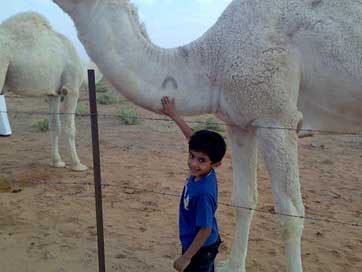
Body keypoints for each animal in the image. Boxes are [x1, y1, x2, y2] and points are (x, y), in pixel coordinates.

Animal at [0, 12, 87, 172]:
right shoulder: (72, 89)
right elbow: (70, 128)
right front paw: (77, 164)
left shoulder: (54, 93)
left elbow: (55, 126)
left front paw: (57, 161)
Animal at [51, 1, 362, 270]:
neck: (214, 60)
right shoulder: (240, 123)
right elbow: (243, 200)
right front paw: (233, 266)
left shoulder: (277, 117)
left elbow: (289, 215)